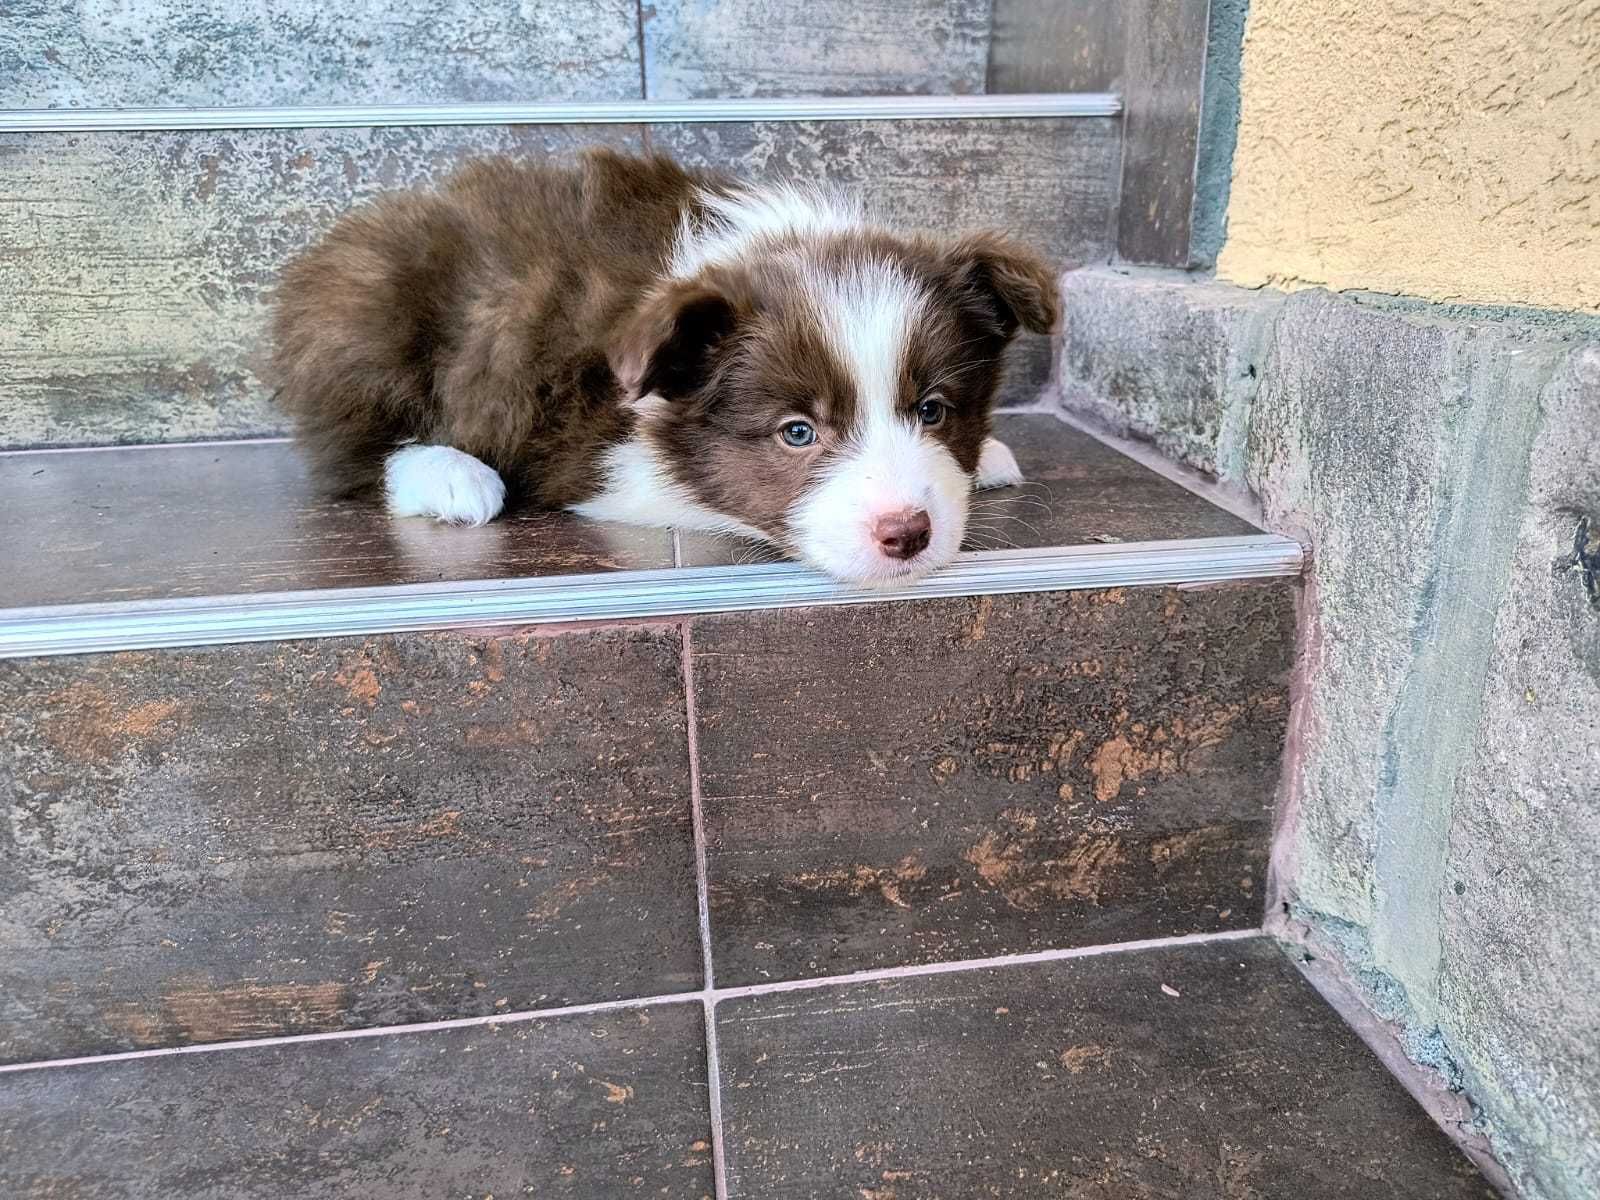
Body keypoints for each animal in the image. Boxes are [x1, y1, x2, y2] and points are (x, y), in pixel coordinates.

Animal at [275, 150, 1062, 588]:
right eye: (798, 432)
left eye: (933, 410)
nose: (906, 535)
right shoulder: (602, 453)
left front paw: (986, 454)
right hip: (371, 312)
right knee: (359, 449)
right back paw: (448, 474)